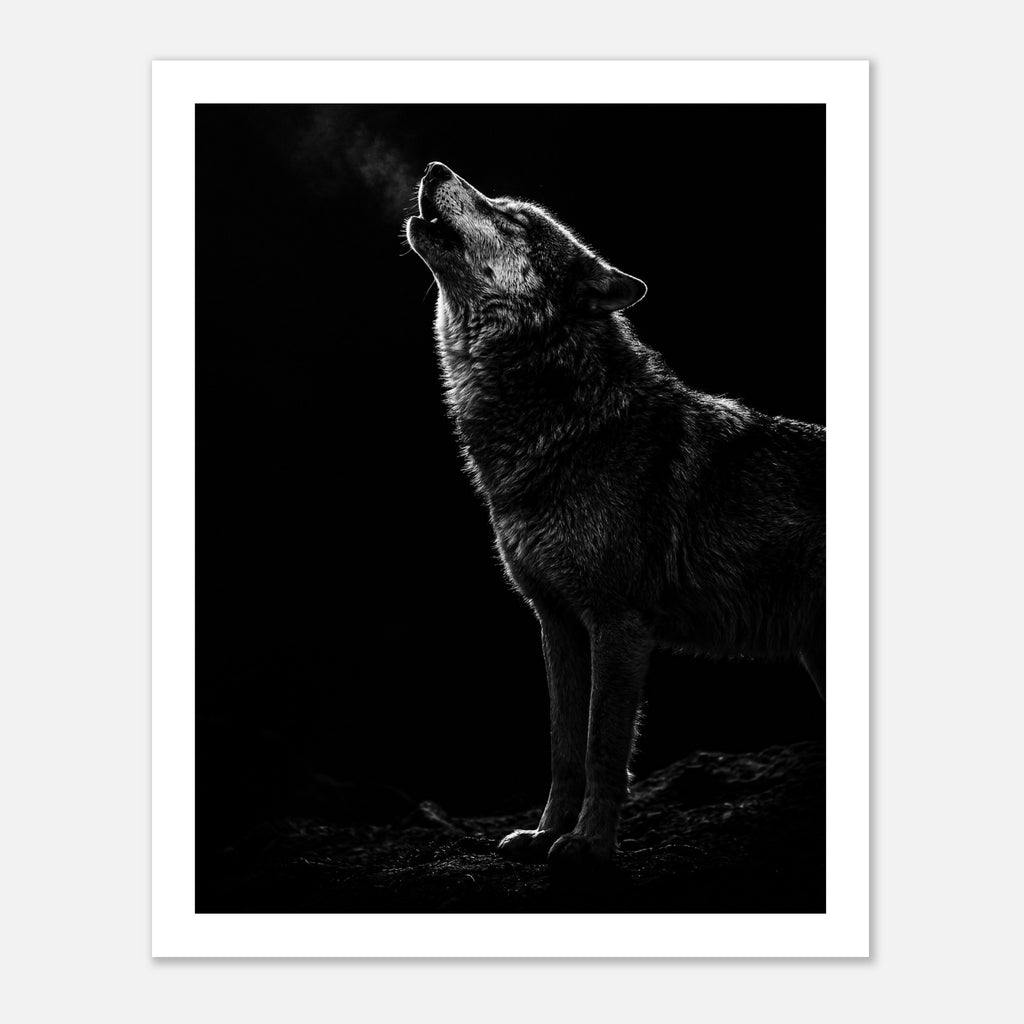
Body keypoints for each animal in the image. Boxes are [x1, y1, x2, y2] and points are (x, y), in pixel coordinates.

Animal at [406, 162, 825, 868]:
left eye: (512, 217)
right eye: (500, 203)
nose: (436, 168)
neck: (569, 427)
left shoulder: (619, 623)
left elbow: (604, 745)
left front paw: (590, 846)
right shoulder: (556, 624)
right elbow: (564, 747)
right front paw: (545, 834)